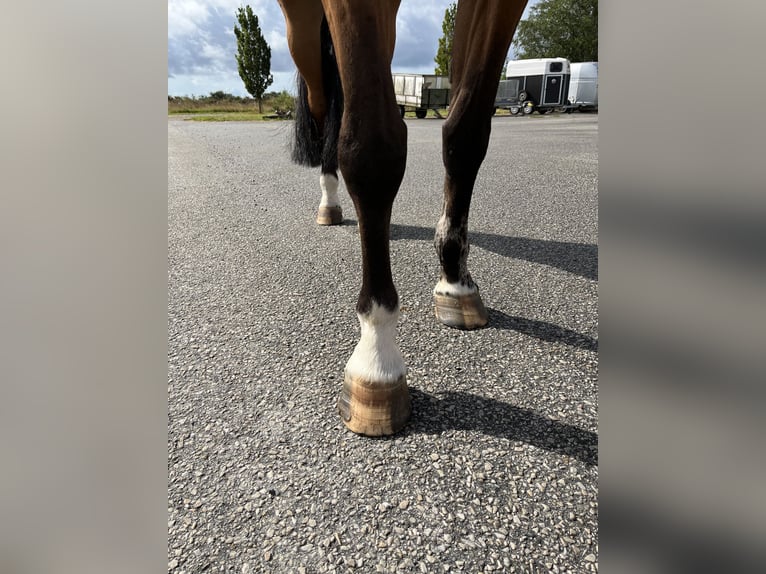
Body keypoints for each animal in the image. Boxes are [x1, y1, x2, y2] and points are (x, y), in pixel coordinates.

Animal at [278, 1, 536, 436]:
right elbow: (372, 149)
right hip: (301, 26)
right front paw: (377, 356)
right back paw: (329, 202)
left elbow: (466, 134)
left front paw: (455, 280)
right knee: (323, 102)